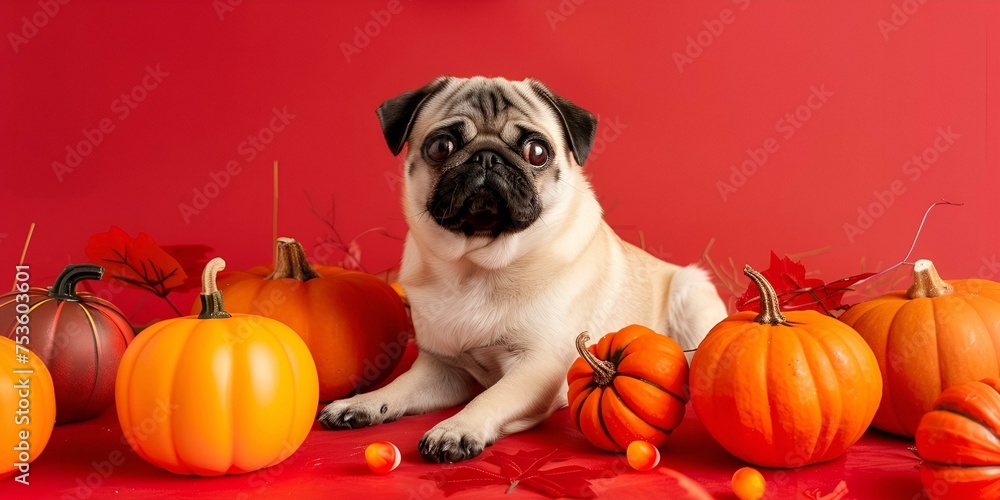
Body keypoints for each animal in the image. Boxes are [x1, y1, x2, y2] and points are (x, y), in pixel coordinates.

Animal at [320, 76, 728, 462]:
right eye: (441, 147)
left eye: (537, 152)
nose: (486, 157)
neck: (476, 267)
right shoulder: (444, 367)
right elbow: (399, 387)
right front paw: (361, 404)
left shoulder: (538, 365)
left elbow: (490, 397)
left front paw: (456, 428)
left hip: (691, 292)